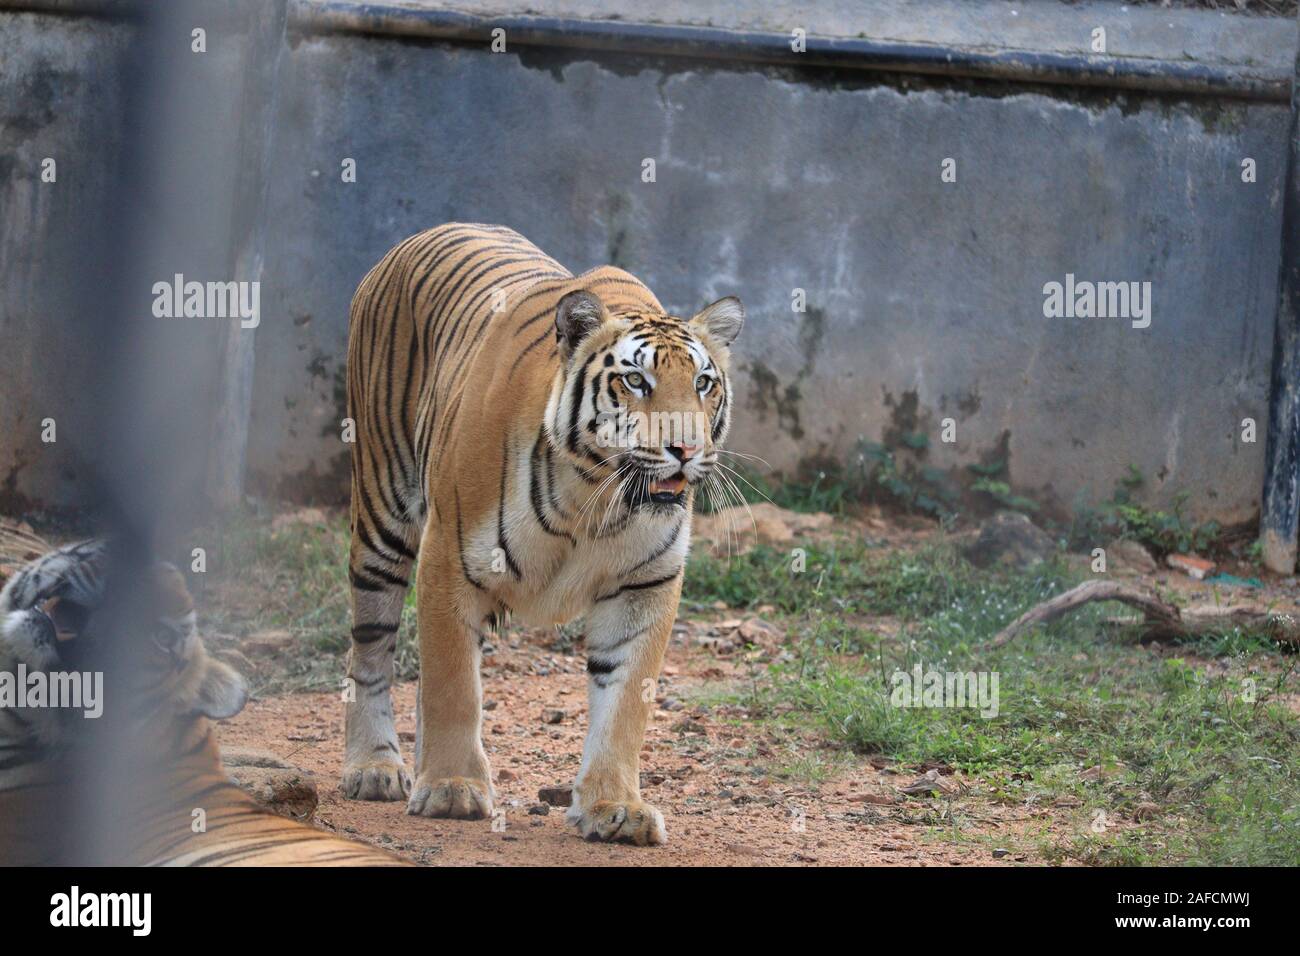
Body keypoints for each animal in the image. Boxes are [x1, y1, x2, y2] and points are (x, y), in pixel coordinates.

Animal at [343, 222, 744, 845]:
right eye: (636, 380)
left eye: (703, 383)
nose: (686, 448)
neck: (595, 497)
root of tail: (416, 237)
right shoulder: (448, 558)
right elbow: (454, 685)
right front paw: (453, 788)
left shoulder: (644, 586)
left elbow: (624, 704)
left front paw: (615, 807)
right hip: (382, 513)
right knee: (371, 648)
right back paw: (376, 768)